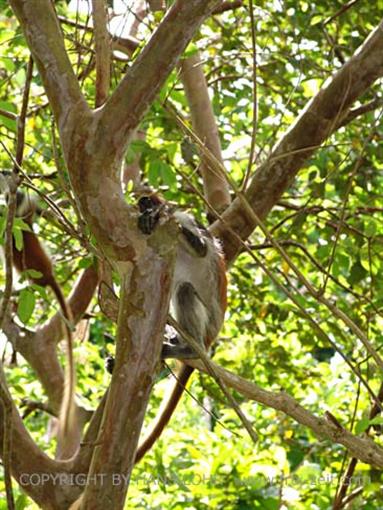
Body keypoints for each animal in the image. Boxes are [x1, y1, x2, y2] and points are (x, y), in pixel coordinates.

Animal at [105, 194, 226, 462]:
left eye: (149, 203)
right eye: (141, 204)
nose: (146, 208)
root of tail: (211, 337)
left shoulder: (184, 218)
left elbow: (202, 249)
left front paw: (157, 217)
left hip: (209, 324)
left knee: (183, 290)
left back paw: (188, 348)